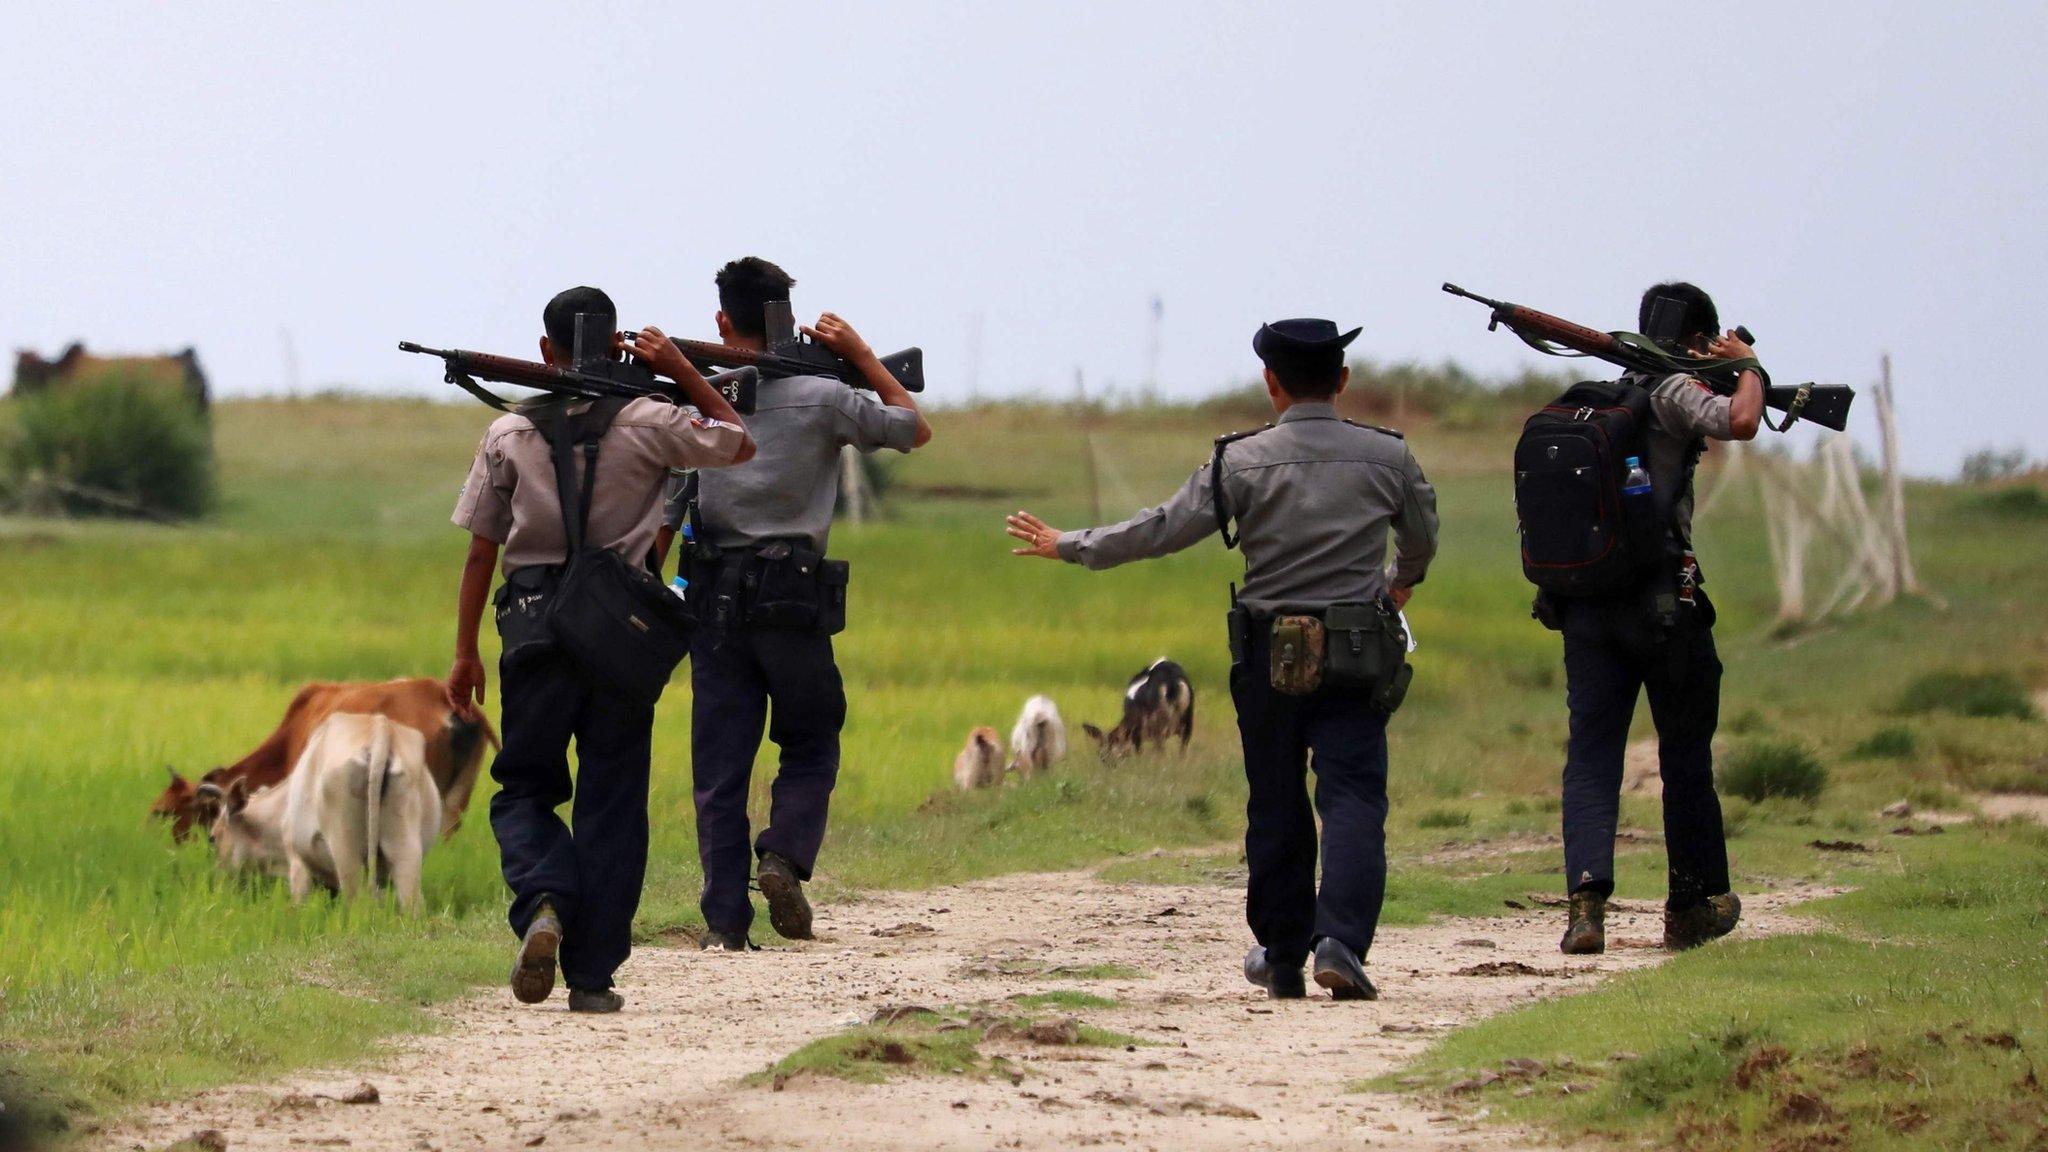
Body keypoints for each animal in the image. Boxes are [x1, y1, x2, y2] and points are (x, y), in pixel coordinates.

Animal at [206, 709, 440, 906]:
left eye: (213, 837)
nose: (218, 878)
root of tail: (379, 728)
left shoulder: (298, 863)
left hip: (344, 847)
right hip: (405, 849)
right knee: (412, 902)